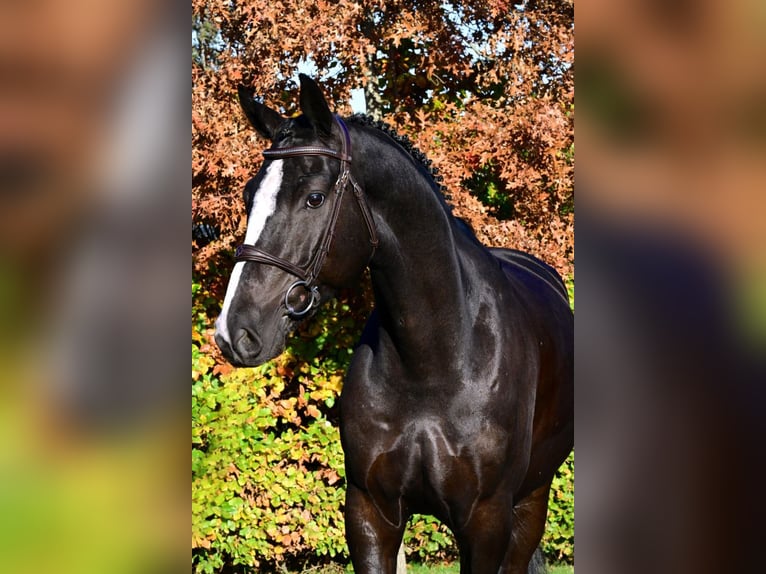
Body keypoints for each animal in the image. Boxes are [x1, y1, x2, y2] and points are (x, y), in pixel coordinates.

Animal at [214, 74, 573, 574]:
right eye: (250, 195)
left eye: (314, 198)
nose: (235, 331)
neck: (435, 362)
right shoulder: (370, 513)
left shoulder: (486, 522)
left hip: (531, 501)